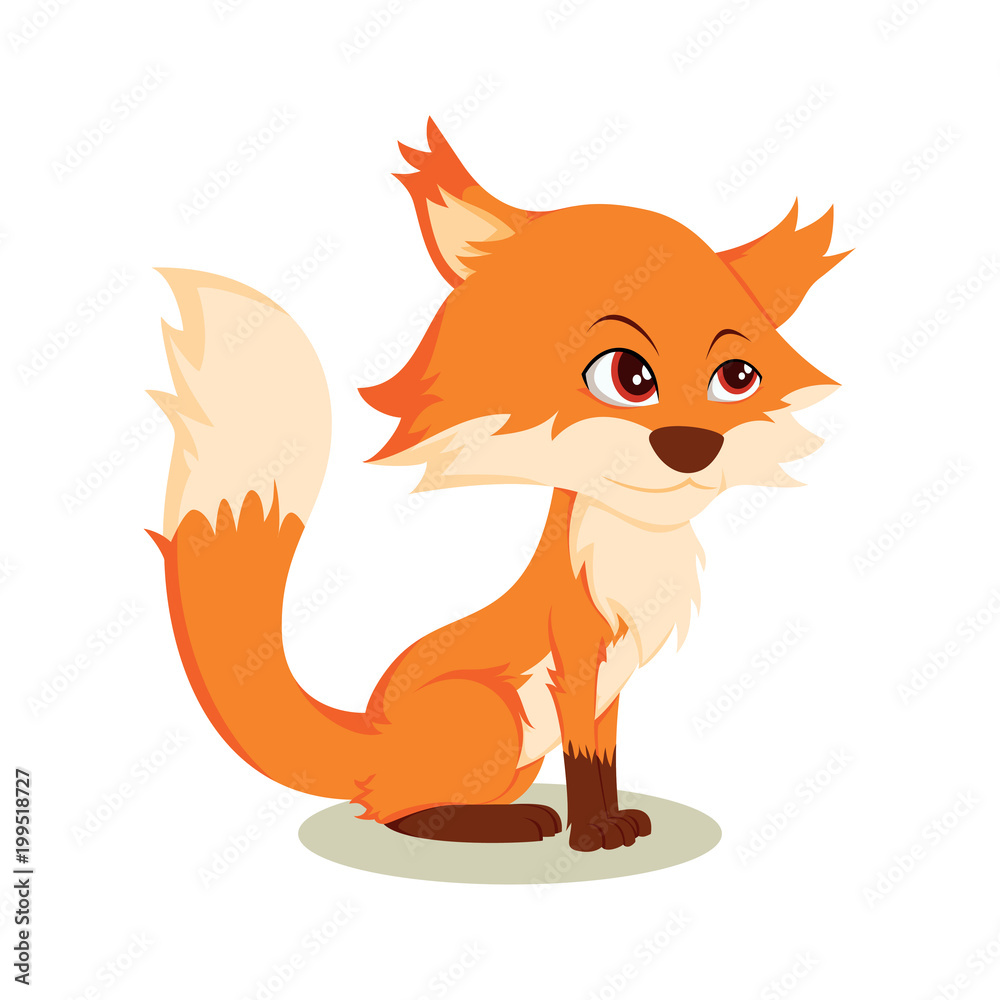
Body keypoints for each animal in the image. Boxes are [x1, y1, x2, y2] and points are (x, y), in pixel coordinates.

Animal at [149, 119, 849, 852]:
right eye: (627, 376)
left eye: (736, 378)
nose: (690, 445)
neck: (631, 548)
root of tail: (372, 737)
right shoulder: (573, 665)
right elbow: (584, 762)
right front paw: (593, 834)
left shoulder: (608, 685)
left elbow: (604, 755)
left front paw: (616, 820)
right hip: (493, 713)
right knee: (397, 812)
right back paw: (507, 826)